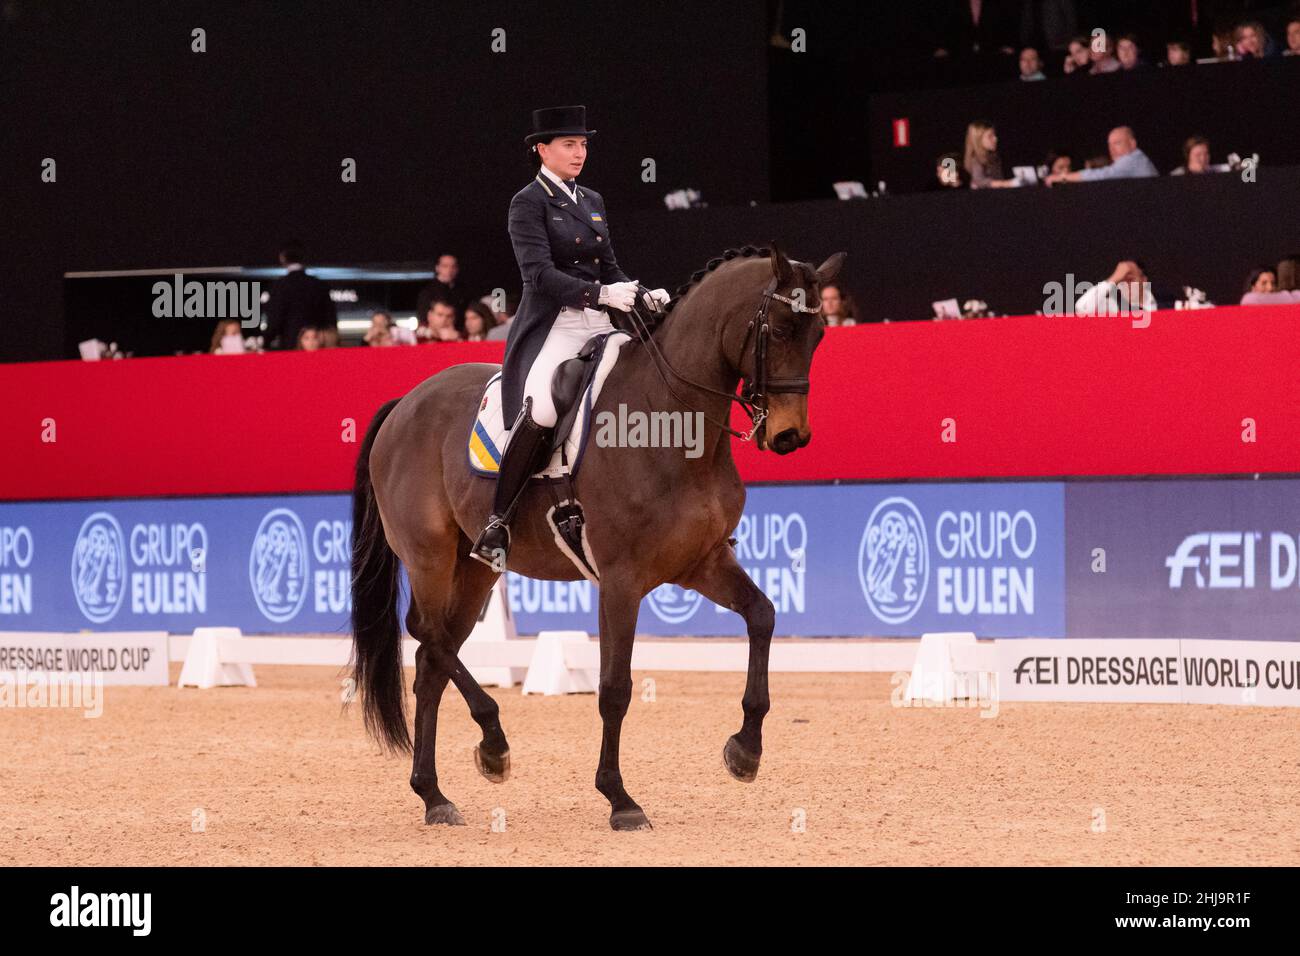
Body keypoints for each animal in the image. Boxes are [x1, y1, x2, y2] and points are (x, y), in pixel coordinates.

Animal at [351, 240, 847, 832]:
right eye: (776, 329)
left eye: (818, 336)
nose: (791, 436)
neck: (672, 417)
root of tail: (405, 402)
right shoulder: (621, 580)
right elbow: (615, 689)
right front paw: (620, 798)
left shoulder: (702, 562)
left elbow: (763, 617)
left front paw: (745, 750)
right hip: (429, 557)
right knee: (427, 633)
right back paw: (493, 742)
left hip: (474, 569)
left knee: (432, 659)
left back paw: (435, 794)